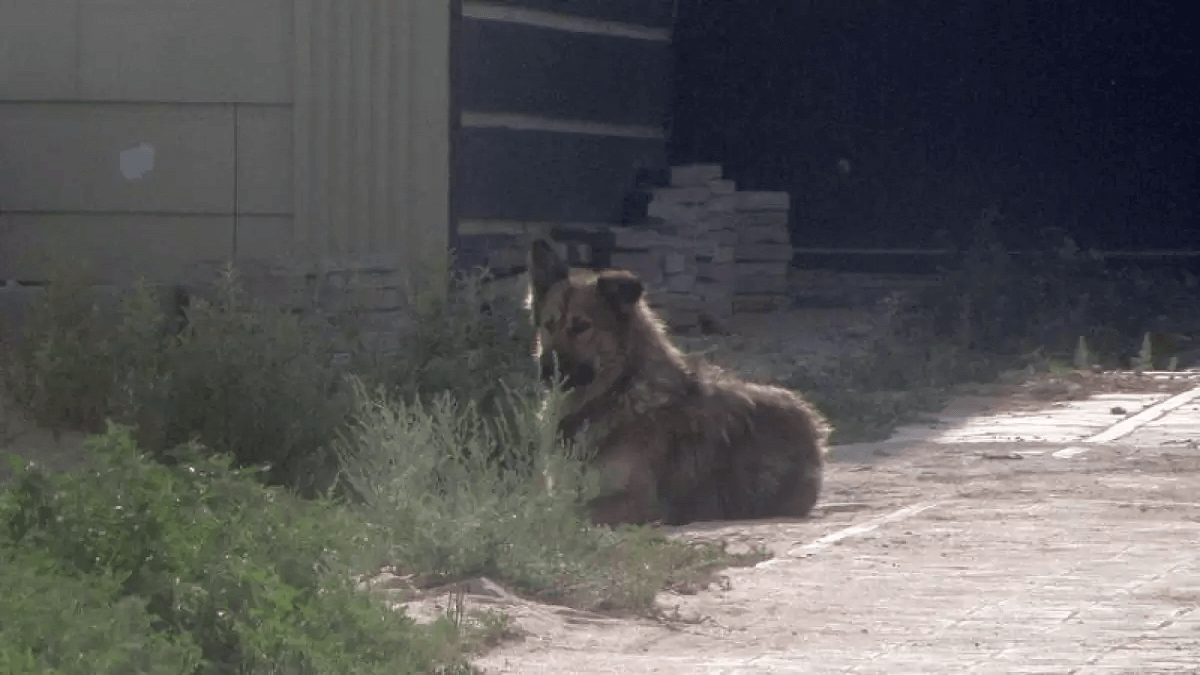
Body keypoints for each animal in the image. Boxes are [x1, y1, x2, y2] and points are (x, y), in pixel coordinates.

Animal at [530, 239, 830, 528]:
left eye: (581, 327)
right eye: (549, 324)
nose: (545, 371)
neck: (618, 390)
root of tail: (812, 424)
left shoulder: (637, 501)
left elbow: (562, 514)